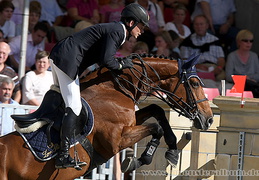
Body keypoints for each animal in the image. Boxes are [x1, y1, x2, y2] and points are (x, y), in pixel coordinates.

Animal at [0, 53, 213, 179]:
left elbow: (156, 110)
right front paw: (137, 160)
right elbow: (156, 127)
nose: (209, 119)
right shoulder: (116, 140)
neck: (113, 87)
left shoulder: (131, 123)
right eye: (195, 84)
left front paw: (172, 150)